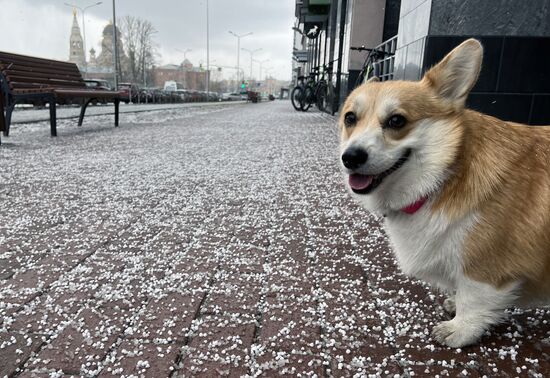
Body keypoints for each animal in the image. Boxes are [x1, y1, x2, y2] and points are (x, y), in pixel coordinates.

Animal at [338, 39, 550, 348]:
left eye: (397, 121)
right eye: (350, 118)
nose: (350, 157)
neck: (446, 176)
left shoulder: (486, 266)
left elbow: (474, 299)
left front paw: (459, 330)